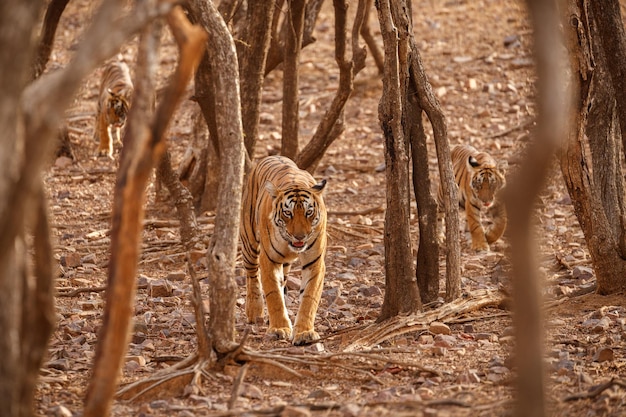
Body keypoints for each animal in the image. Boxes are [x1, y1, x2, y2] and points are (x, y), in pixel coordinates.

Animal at [239, 155, 326, 344]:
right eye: (288, 213)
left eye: (309, 212)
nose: (300, 237)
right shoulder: (269, 260)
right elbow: (274, 296)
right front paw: (279, 328)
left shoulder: (314, 261)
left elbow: (309, 297)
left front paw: (304, 332)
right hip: (249, 241)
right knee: (251, 275)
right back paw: (254, 311)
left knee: (283, 280)